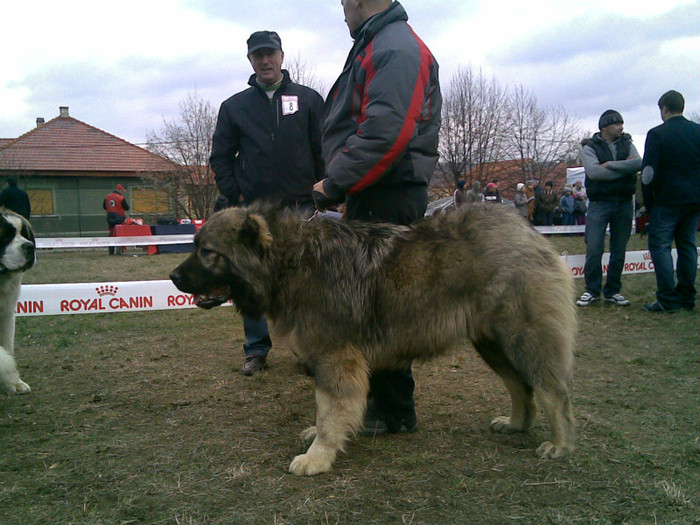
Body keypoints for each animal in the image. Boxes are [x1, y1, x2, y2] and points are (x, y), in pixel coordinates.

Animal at [170, 203, 576, 472]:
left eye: (207, 252)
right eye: (195, 246)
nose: (173, 277)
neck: (290, 261)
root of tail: (527, 231)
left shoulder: (335, 356)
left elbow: (329, 409)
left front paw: (318, 455)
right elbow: (327, 409)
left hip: (522, 337)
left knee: (553, 393)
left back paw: (559, 444)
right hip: (491, 343)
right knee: (520, 387)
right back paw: (516, 423)